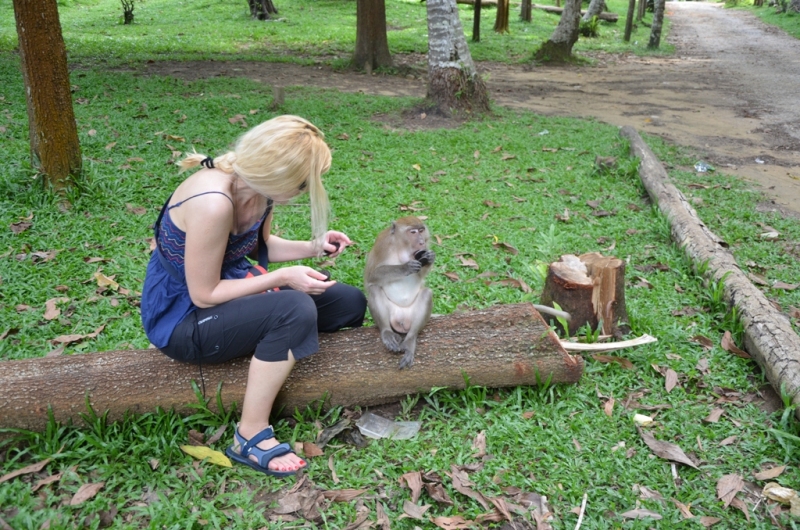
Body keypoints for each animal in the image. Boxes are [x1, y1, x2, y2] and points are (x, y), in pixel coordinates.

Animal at [366, 214, 434, 368]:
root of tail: (402, 320)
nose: (421, 242)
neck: (401, 247)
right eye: (413, 232)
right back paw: (386, 332)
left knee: (426, 294)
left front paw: (430, 258)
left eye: (421, 230)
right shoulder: (382, 244)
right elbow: (371, 276)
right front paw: (405, 267)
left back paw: (410, 340)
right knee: (374, 289)